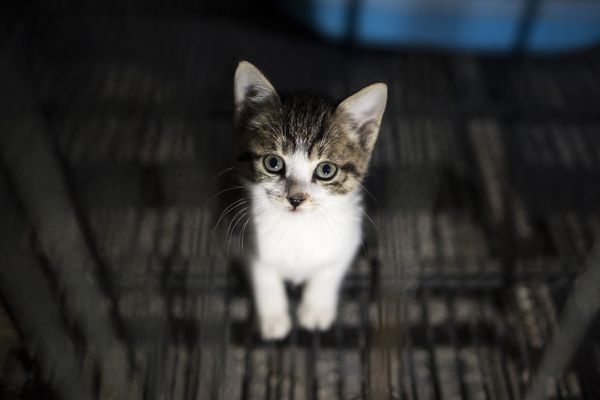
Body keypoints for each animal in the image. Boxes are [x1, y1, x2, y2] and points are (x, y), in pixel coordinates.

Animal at [232, 61, 386, 340]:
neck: (298, 228)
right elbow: (263, 275)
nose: (295, 198)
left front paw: (316, 311)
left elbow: (329, 271)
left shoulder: (348, 239)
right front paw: (273, 318)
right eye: (273, 163)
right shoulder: (245, 239)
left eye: (326, 170)